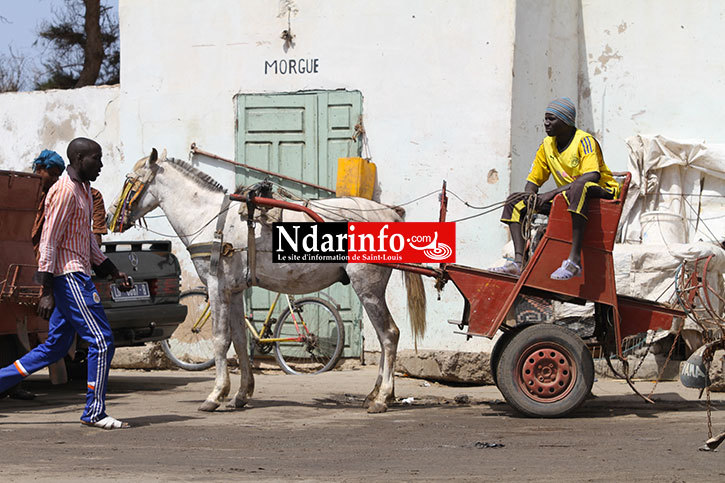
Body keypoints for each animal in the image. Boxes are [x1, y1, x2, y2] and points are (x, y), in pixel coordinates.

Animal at [107, 149, 424, 414]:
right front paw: (241, 394)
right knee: (384, 338)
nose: (110, 217)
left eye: (129, 182)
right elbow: (238, 339)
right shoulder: (234, 291)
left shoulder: (217, 287)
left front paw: (215, 395)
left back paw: (382, 398)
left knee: (389, 335)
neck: (211, 218)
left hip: (367, 286)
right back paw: (375, 394)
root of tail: (388, 212)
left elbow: (220, 340)